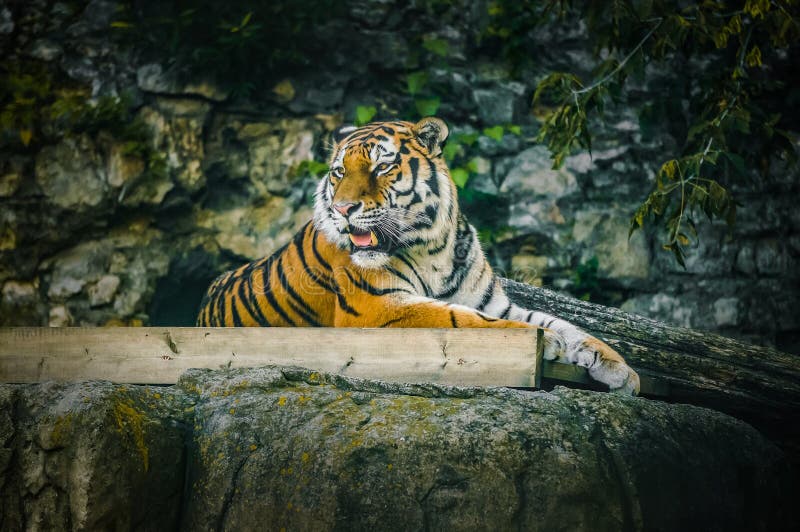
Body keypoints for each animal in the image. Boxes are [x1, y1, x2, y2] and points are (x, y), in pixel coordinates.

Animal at [197, 118, 640, 396]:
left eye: (381, 167)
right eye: (339, 172)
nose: (342, 209)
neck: (433, 247)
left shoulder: (495, 302)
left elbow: (566, 324)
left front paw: (623, 371)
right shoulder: (378, 307)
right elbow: (463, 320)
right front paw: (548, 343)